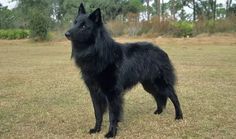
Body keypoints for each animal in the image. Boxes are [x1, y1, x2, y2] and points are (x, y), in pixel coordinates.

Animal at [65, 3, 183, 138]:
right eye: (75, 22)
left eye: (84, 26)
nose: (66, 33)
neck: (96, 52)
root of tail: (161, 51)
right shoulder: (94, 92)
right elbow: (97, 113)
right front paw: (96, 129)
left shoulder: (112, 93)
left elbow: (112, 115)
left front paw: (111, 133)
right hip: (149, 84)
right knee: (158, 96)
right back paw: (159, 111)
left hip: (160, 83)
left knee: (173, 96)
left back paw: (179, 116)